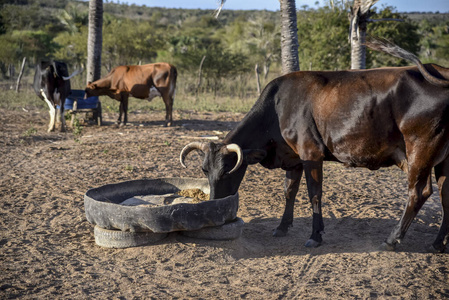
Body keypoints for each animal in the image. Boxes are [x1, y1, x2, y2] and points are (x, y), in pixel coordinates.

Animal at [180, 38, 448, 253]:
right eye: (205, 170)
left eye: (228, 171)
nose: (215, 203)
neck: (278, 107)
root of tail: (439, 71)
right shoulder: (294, 159)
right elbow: (289, 192)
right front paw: (282, 226)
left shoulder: (312, 154)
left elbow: (314, 195)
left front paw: (315, 235)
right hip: (443, 160)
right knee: (445, 196)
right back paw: (437, 243)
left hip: (419, 152)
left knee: (418, 193)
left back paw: (392, 240)